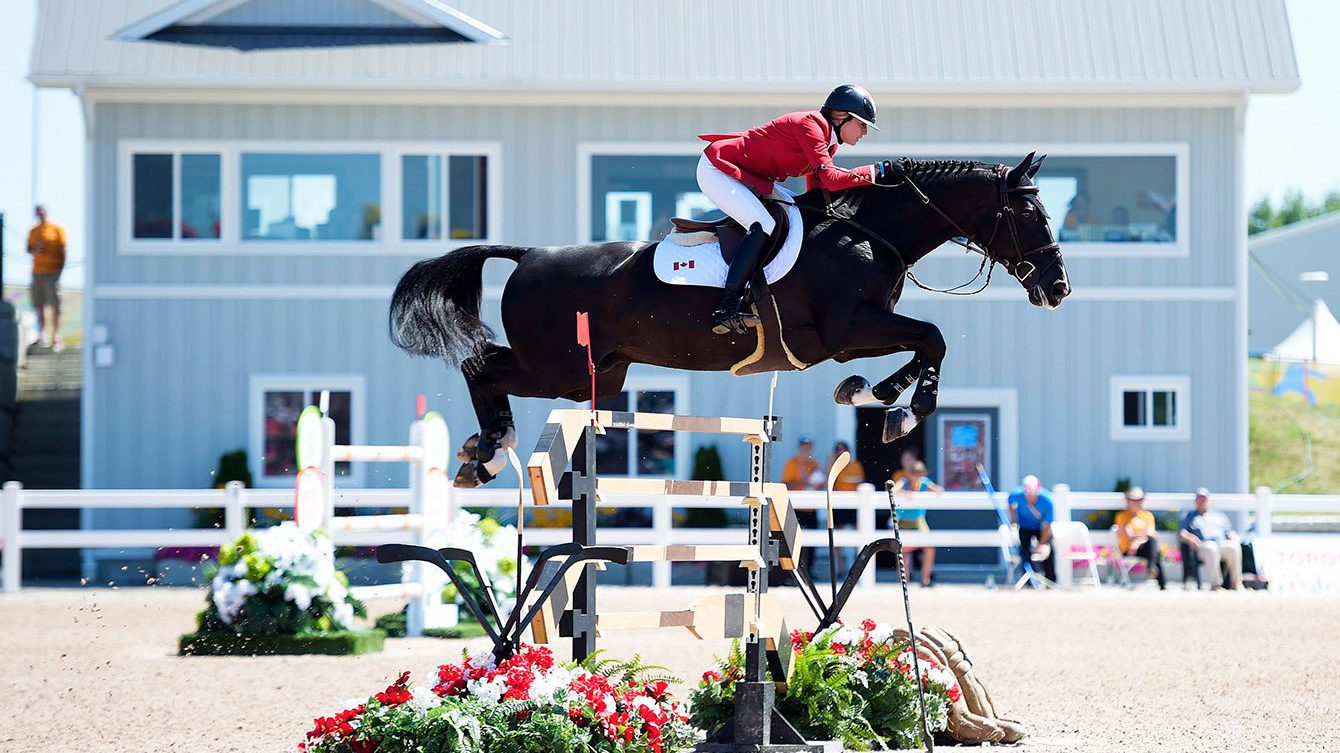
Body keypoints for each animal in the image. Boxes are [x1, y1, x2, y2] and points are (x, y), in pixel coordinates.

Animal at [390, 153, 1070, 487]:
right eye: (1030, 214)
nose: (1058, 288)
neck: (868, 232)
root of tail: (529, 254)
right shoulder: (847, 330)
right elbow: (932, 337)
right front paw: (904, 409)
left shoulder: (858, 332)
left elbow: (922, 345)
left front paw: (875, 393)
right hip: (560, 369)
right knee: (481, 367)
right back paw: (488, 453)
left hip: (597, 374)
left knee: (488, 368)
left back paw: (480, 451)